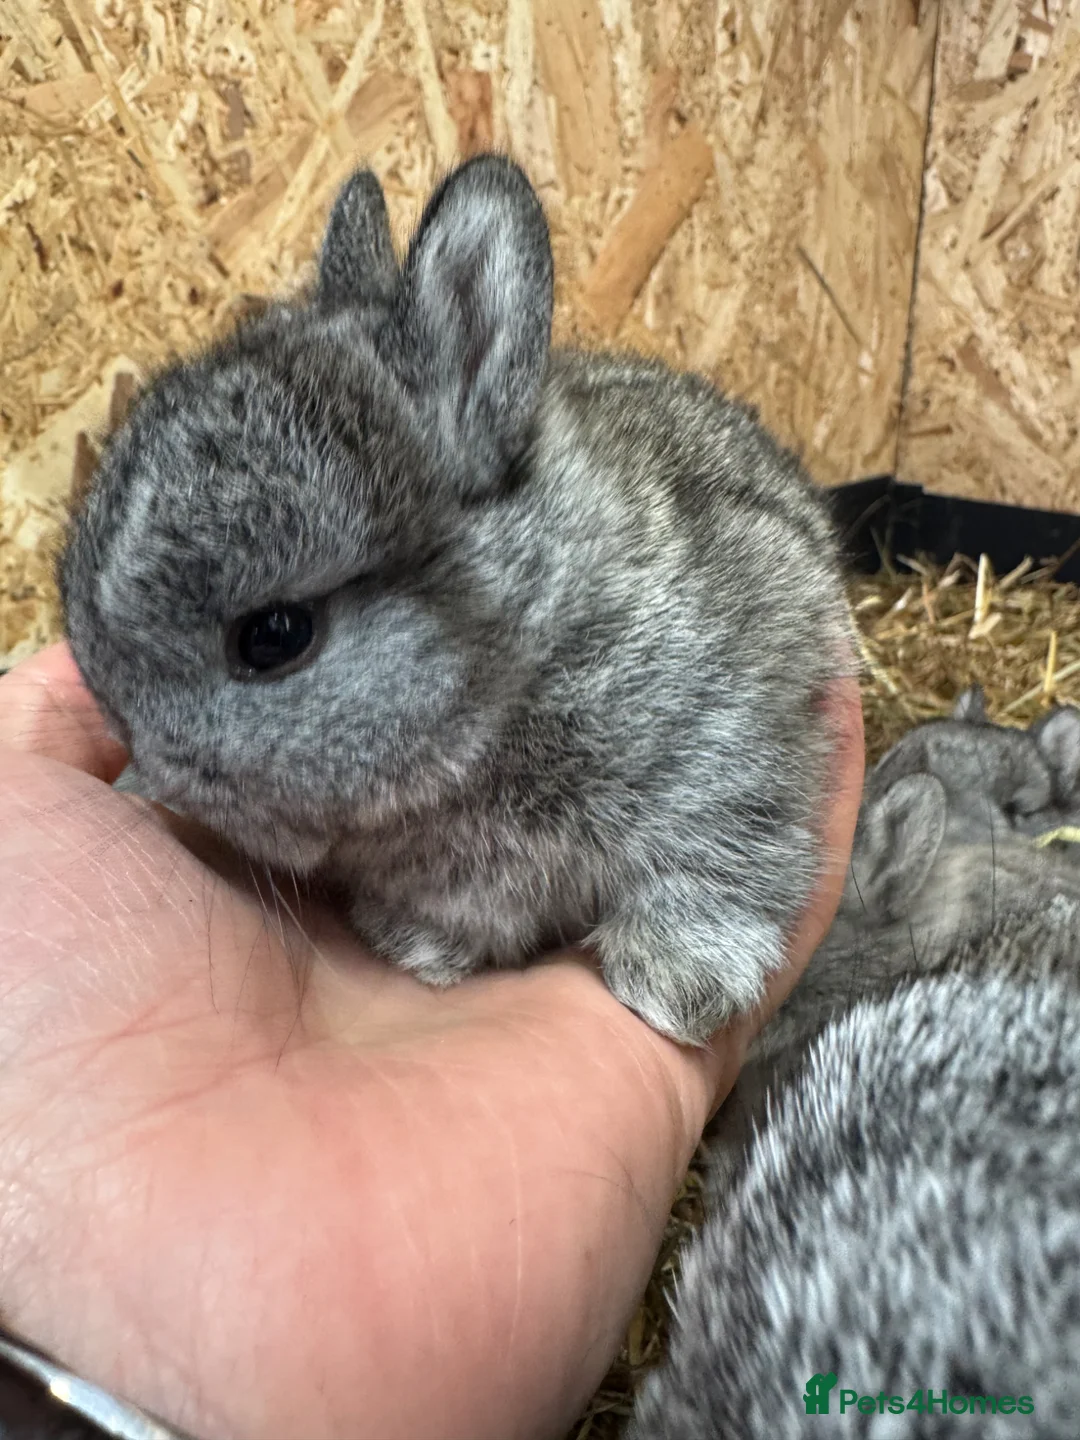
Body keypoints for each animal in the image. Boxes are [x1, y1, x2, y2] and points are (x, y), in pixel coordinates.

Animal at [58, 155, 853, 1044]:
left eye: (274, 636)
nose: (142, 753)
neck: (514, 669)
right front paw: (423, 948)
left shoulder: (728, 762)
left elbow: (720, 865)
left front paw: (673, 989)